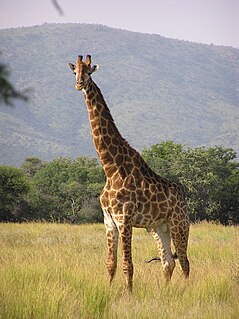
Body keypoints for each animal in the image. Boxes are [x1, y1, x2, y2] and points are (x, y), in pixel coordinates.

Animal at [68, 55, 190, 292]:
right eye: (74, 71)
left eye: (89, 72)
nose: (79, 84)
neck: (110, 168)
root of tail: (184, 199)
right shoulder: (108, 220)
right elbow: (111, 263)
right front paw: (107, 291)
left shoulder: (124, 218)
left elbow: (127, 264)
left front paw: (129, 294)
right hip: (159, 228)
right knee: (168, 262)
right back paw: (165, 292)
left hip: (180, 225)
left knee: (185, 262)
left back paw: (185, 292)